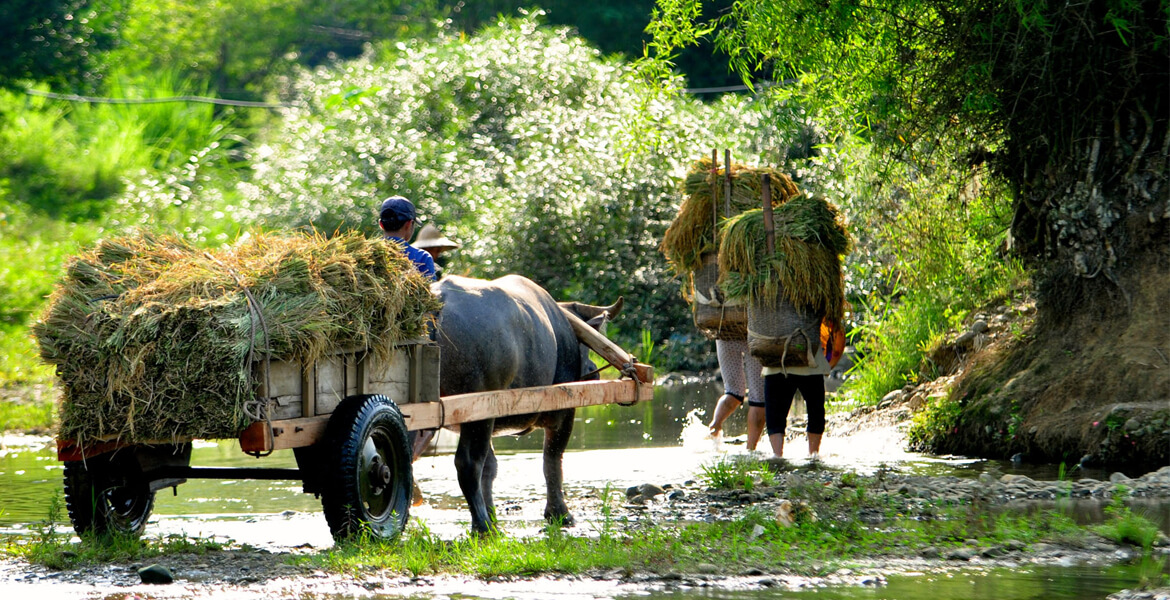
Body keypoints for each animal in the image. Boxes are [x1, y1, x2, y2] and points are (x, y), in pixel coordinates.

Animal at [430, 273, 622, 530]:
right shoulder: (563, 413)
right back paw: (482, 525)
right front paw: (559, 513)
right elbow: (552, 460)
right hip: (478, 414)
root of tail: (439, 300)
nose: (593, 371)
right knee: (468, 464)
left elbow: (491, 468)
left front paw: (493, 512)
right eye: (584, 346)